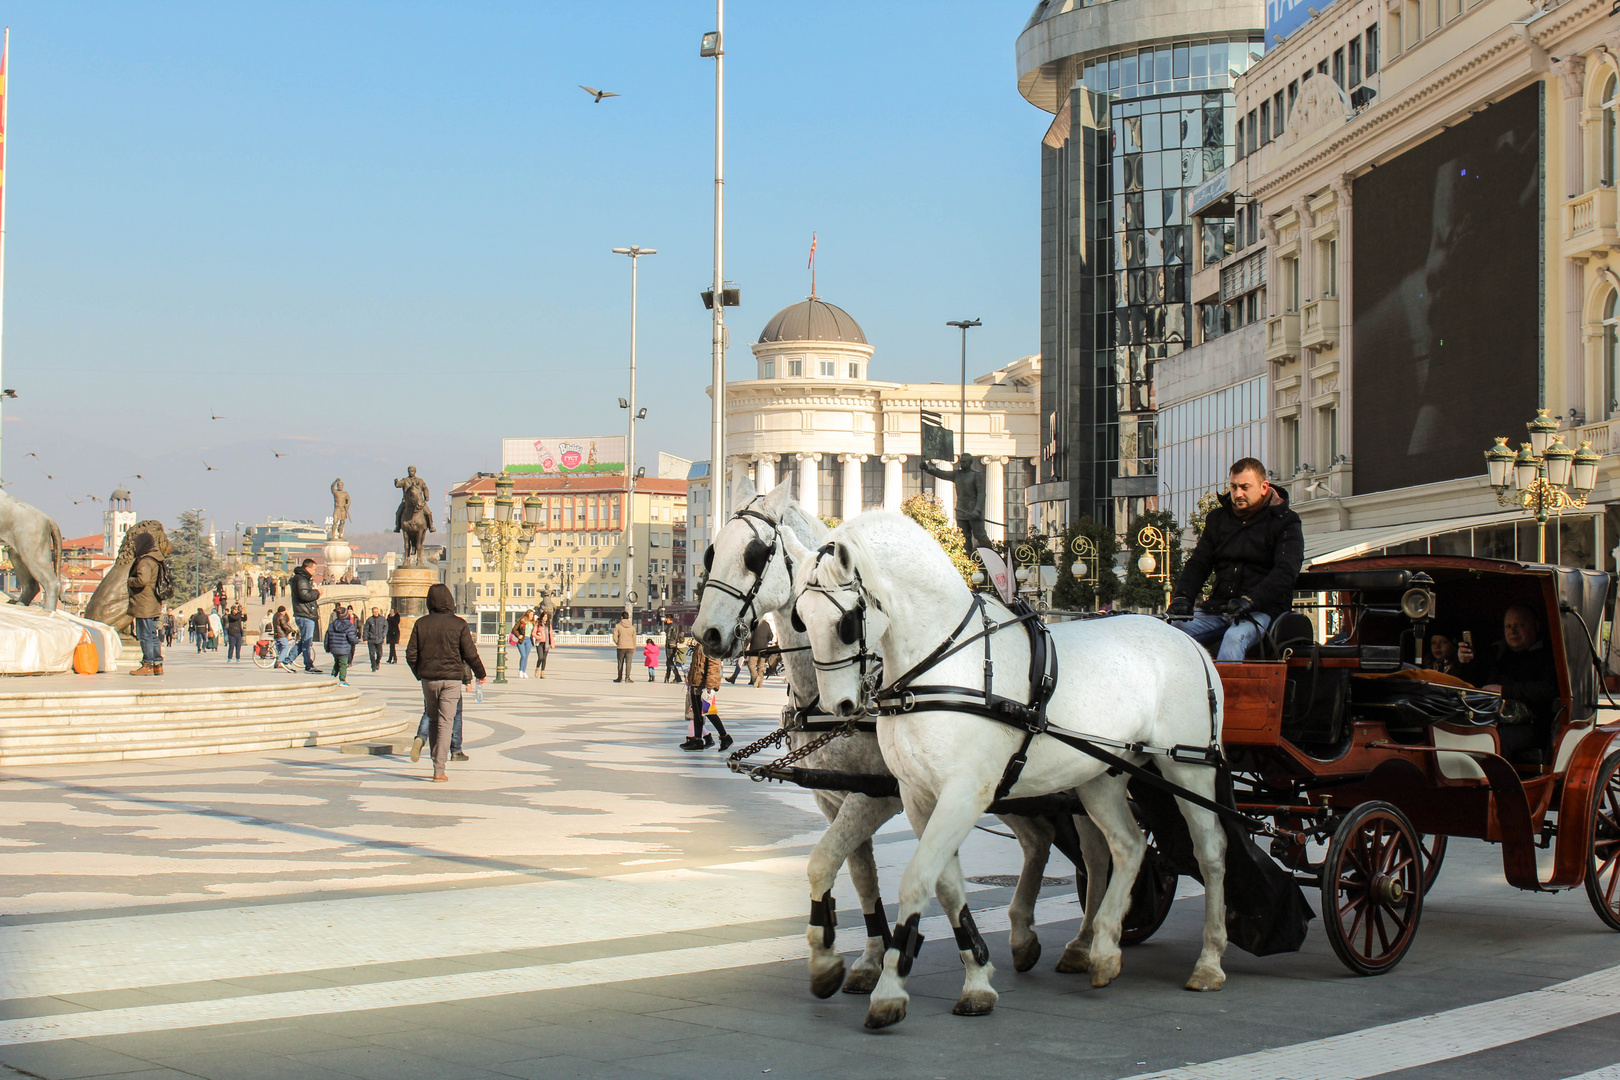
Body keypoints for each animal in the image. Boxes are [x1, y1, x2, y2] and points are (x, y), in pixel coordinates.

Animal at [693, 482, 1062, 1016]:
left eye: (754, 554)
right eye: (711, 551)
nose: (707, 635)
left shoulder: (877, 795)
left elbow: (825, 860)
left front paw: (835, 958)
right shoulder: (833, 795)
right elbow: (859, 872)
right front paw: (865, 959)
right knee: (1040, 838)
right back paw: (1027, 937)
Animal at [784, 514, 1224, 1029]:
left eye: (848, 620)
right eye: (800, 617)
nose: (839, 707)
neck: (942, 665)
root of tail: (1187, 639)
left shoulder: (962, 794)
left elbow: (917, 880)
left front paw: (890, 989)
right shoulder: (919, 797)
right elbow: (947, 886)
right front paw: (977, 979)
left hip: (1186, 767)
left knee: (1210, 851)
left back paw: (1209, 961)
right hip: (1102, 776)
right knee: (1127, 846)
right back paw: (1102, 950)